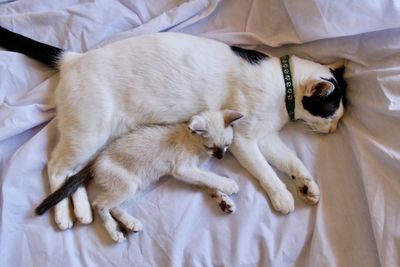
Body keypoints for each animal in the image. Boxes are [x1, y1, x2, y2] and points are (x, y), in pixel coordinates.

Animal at [36, 109, 244, 243]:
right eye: (211, 147)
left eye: (227, 145)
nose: (220, 156)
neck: (196, 147)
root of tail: (94, 161)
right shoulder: (184, 169)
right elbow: (211, 178)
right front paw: (229, 186)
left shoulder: (191, 173)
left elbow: (207, 183)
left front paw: (224, 201)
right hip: (129, 186)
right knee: (99, 204)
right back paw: (115, 232)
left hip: (136, 185)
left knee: (112, 206)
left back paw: (131, 223)